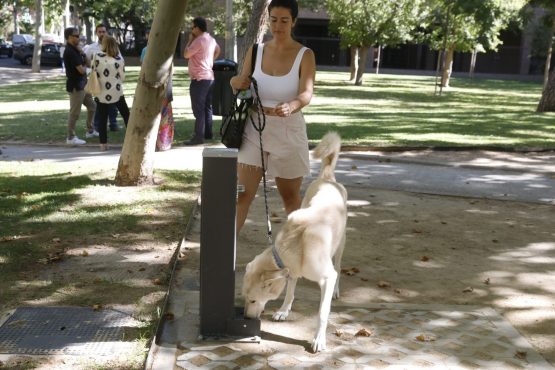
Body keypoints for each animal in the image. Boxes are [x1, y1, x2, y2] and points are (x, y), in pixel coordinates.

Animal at [242, 132, 348, 352]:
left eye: (253, 300)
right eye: (244, 298)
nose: (246, 318)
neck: (292, 246)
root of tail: (327, 179)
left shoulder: (327, 277)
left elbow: (322, 313)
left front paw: (319, 339)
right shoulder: (292, 271)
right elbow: (290, 292)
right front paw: (283, 311)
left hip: (341, 244)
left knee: (339, 266)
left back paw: (337, 290)